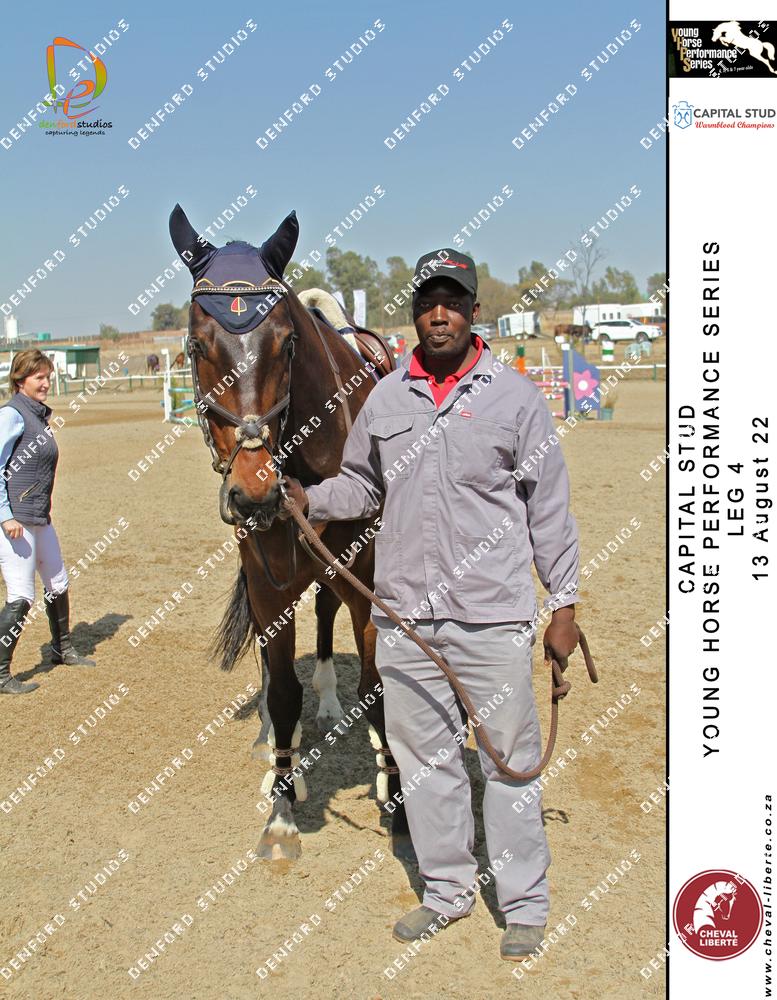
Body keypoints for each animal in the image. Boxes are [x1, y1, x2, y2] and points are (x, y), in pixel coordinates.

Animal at [169, 204, 410, 861]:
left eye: (287, 342)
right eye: (198, 346)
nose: (255, 492)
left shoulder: (365, 582)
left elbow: (379, 690)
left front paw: (399, 800)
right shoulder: (268, 585)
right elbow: (279, 691)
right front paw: (280, 812)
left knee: (327, 618)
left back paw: (331, 705)